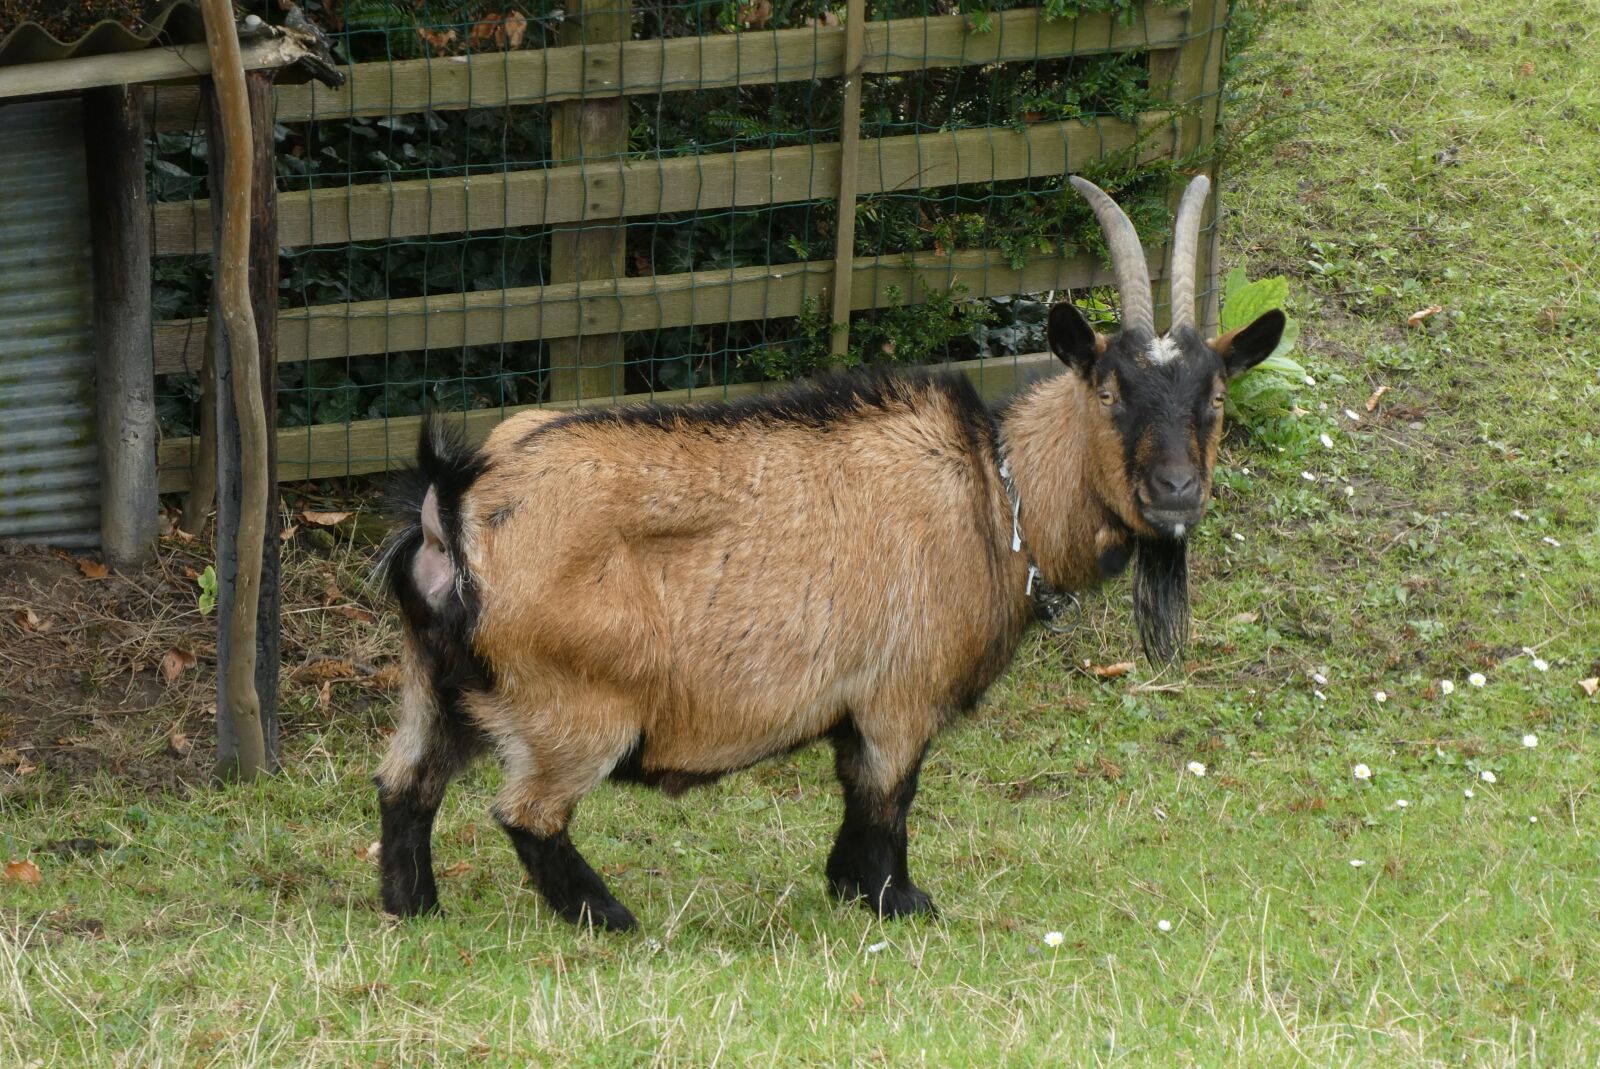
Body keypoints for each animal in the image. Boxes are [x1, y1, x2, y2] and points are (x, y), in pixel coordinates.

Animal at [376, 175, 1286, 930]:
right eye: (1109, 390)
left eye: (1213, 395)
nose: (1175, 491)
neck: (995, 494)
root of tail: (456, 506)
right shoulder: (899, 693)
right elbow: (889, 796)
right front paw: (899, 899)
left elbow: (861, 793)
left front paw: (852, 886)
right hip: (574, 706)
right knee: (527, 812)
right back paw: (609, 916)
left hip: (435, 684)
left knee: (405, 782)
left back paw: (414, 907)